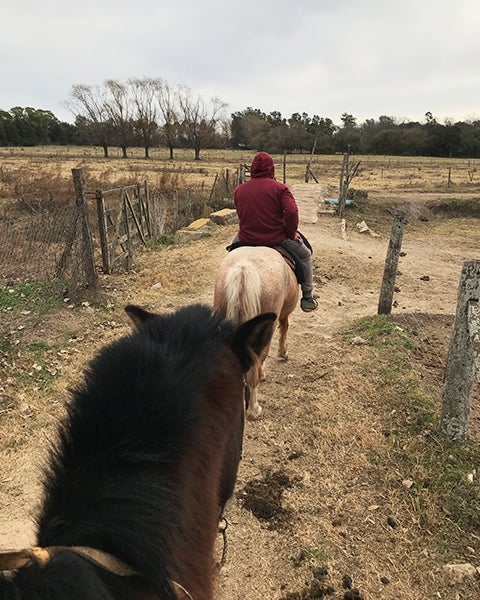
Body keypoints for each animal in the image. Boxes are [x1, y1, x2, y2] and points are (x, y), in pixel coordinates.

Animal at [215, 246, 300, 420]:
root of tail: (244, 269)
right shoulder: (281, 316)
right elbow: (285, 327)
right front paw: (283, 353)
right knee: (255, 366)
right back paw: (254, 409)